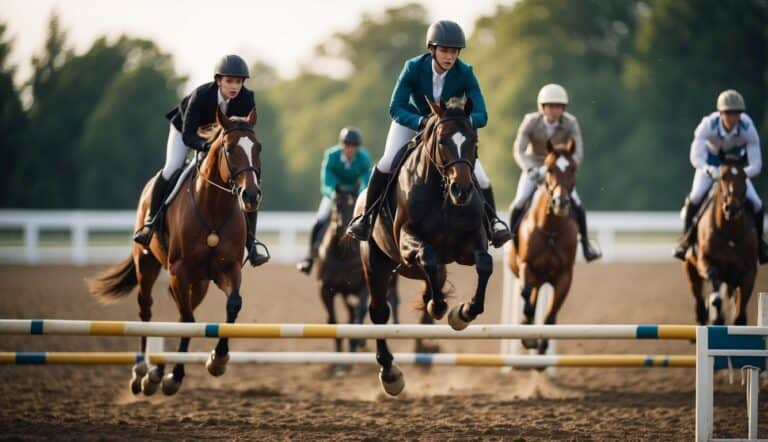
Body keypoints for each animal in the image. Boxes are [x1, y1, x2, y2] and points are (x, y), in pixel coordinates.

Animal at [88, 108, 262, 398]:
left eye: (258, 147)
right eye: (229, 148)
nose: (251, 196)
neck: (213, 207)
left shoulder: (228, 268)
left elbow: (232, 306)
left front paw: (217, 360)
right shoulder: (179, 271)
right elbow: (189, 321)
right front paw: (174, 376)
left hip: (200, 283)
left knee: (183, 311)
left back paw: (157, 372)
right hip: (147, 264)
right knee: (146, 310)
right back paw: (142, 373)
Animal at [356, 98, 492, 396]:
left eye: (473, 141)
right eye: (441, 141)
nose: (462, 191)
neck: (442, 193)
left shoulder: (470, 245)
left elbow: (485, 265)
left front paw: (462, 313)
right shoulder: (408, 241)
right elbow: (427, 255)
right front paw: (439, 307)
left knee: (433, 278)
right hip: (377, 264)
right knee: (380, 311)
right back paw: (390, 374)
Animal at [504, 140, 576, 354]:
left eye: (573, 168)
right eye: (549, 169)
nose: (561, 202)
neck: (550, 229)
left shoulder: (565, 276)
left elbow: (552, 313)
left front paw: (543, 344)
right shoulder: (527, 266)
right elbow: (527, 298)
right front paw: (529, 337)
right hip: (534, 276)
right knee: (530, 297)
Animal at [684, 162, 756, 324]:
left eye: (744, 177)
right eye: (722, 177)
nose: (731, 208)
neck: (730, 234)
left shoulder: (748, 271)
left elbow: (740, 308)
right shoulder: (705, 261)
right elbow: (712, 277)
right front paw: (716, 310)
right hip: (690, 266)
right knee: (699, 295)